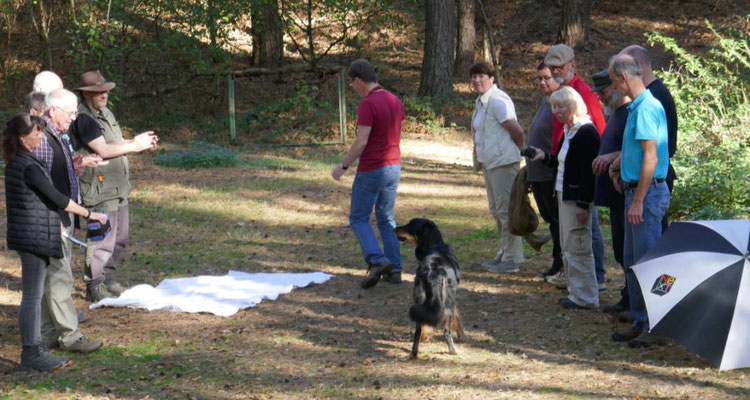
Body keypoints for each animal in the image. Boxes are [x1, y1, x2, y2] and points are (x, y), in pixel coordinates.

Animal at [394, 219, 464, 360]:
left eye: (410, 226)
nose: (394, 229)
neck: (435, 245)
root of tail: (432, 271)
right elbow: (458, 315)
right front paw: (461, 334)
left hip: (419, 299)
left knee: (418, 330)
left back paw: (414, 353)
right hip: (448, 303)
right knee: (446, 332)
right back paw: (454, 352)